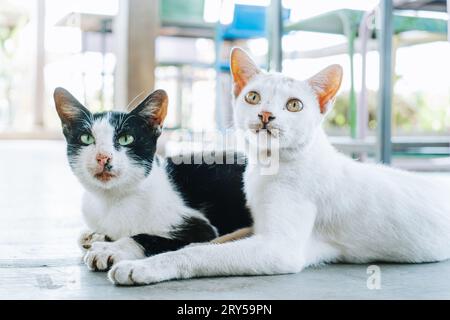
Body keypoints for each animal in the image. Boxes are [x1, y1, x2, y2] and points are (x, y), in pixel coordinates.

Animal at [53, 87, 253, 270]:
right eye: (86, 138)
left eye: (126, 138)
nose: (103, 157)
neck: (112, 200)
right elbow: (84, 236)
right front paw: (96, 237)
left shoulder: (200, 227)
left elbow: (146, 237)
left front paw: (110, 249)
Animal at [103, 47, 450, 284]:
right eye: (253, 97)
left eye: (294, 105)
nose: (266, 115)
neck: (268, 166)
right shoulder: (256, 227)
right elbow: (213, 239)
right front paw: (115, 248)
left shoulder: (279, 248)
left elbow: (200, 251)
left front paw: (141, 266)